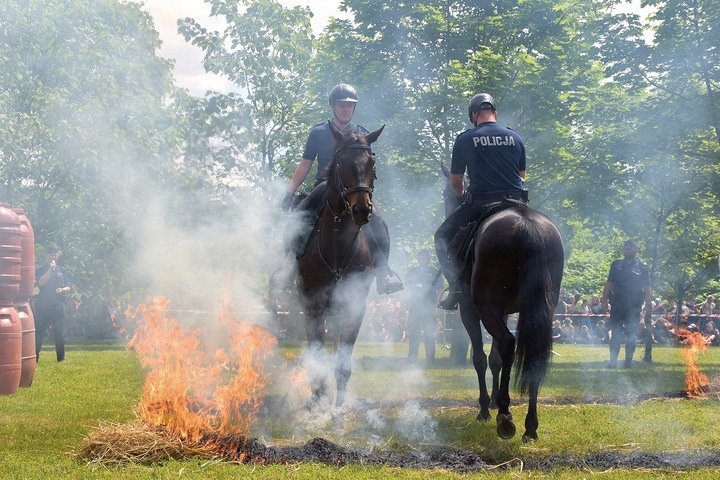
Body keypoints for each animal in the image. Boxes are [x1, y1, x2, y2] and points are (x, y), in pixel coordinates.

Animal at [296, 122, 386, 406]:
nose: (361, 210)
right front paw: (318, 401)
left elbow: (343, 363)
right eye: (342, 161)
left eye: (372, 162)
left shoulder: (354, 306)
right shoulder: (312, 305)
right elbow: (316, 358)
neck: (337, 246)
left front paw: (338, 407)